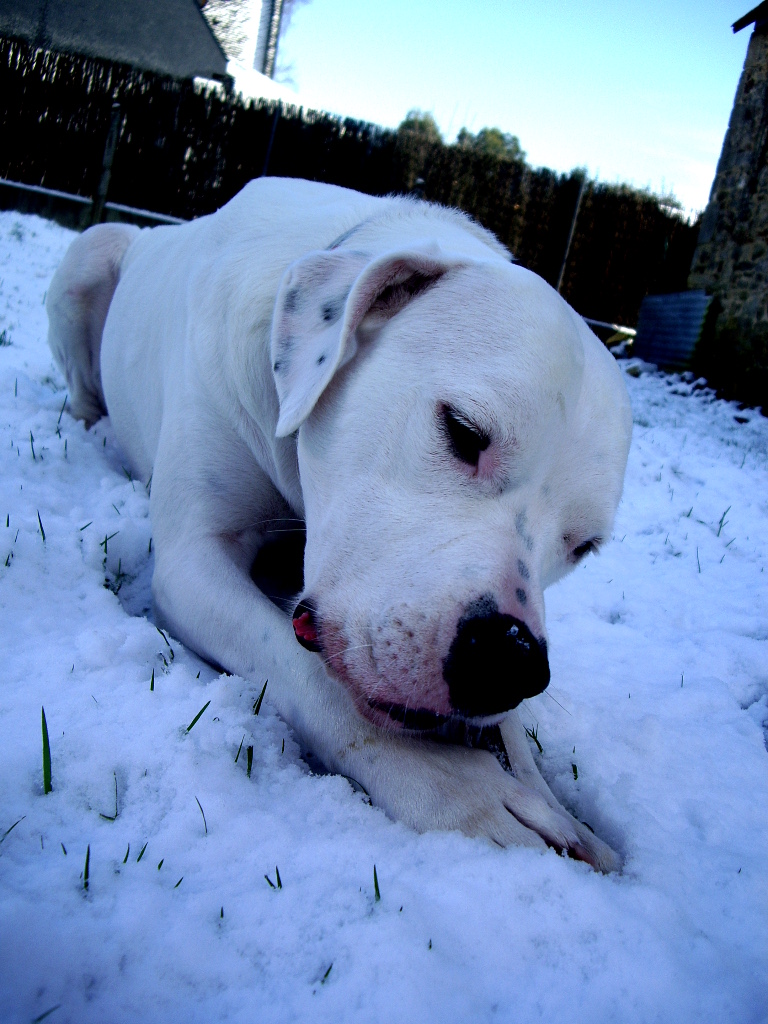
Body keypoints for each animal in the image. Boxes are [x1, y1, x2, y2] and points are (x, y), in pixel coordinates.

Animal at [46, 180, 630, 868]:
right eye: (462, 430)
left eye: (584, 545)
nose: (508, 661)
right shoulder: (195, 560)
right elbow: (306, 674)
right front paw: (461, 789)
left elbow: (513, 738)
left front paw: (552, 804)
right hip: (91, 252)